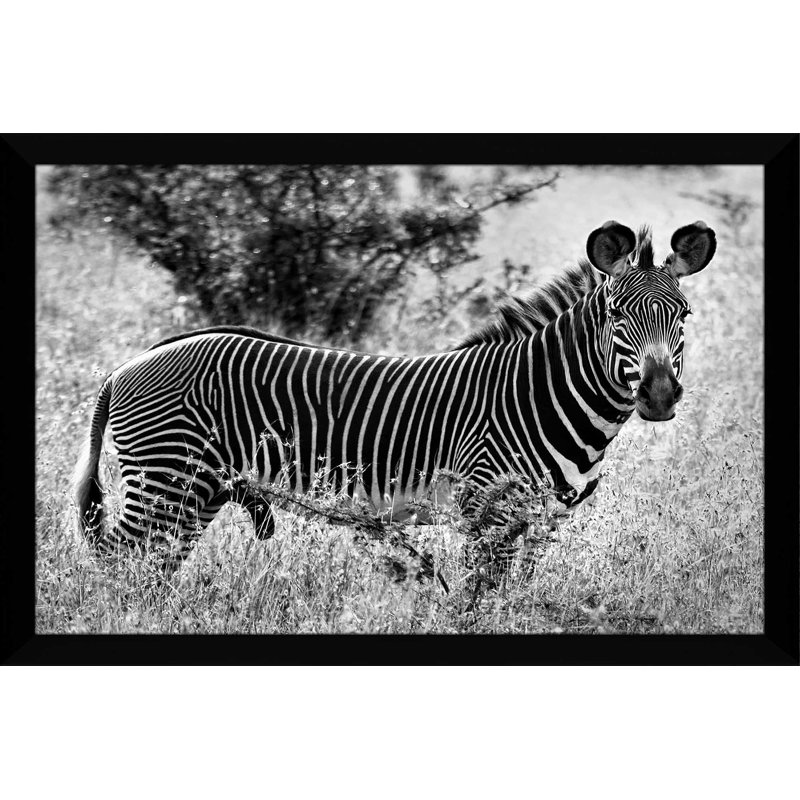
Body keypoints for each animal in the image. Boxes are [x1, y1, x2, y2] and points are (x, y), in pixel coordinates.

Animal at [72, 220, 716, 571]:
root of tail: (127, 365)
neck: (542, 393)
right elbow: (478, 605)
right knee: (125, 569)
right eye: (615, 315)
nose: (659, 395)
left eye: (684, 314)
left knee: (150, 573)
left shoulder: (541, 523)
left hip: (196, 492)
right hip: (166, 481)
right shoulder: (486, 512)